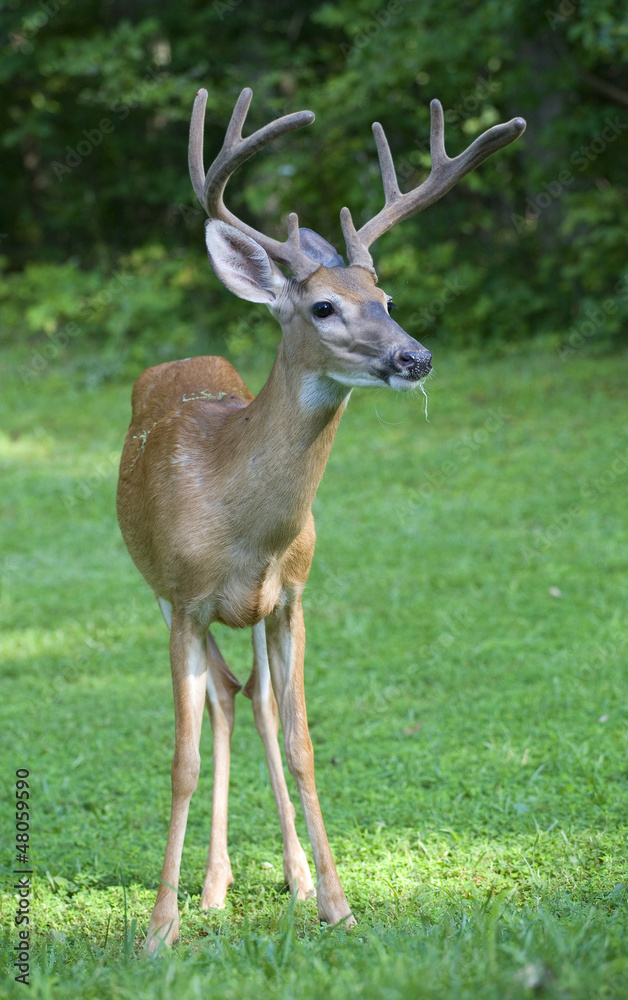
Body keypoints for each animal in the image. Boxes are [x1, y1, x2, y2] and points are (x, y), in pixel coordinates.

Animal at [116, 86, 524, 952]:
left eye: (388, 300)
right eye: (324, 305)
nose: (413, 356)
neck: (241, 520)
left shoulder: (295, 595)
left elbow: (302, 741)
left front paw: (337, 903)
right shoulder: (184, 599)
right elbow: (181, 760)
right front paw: (159, 929)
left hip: (254, 615)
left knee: (251, 701)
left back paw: (281, 878)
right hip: (164, 597)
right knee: (222, 699)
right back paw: (210, 889)